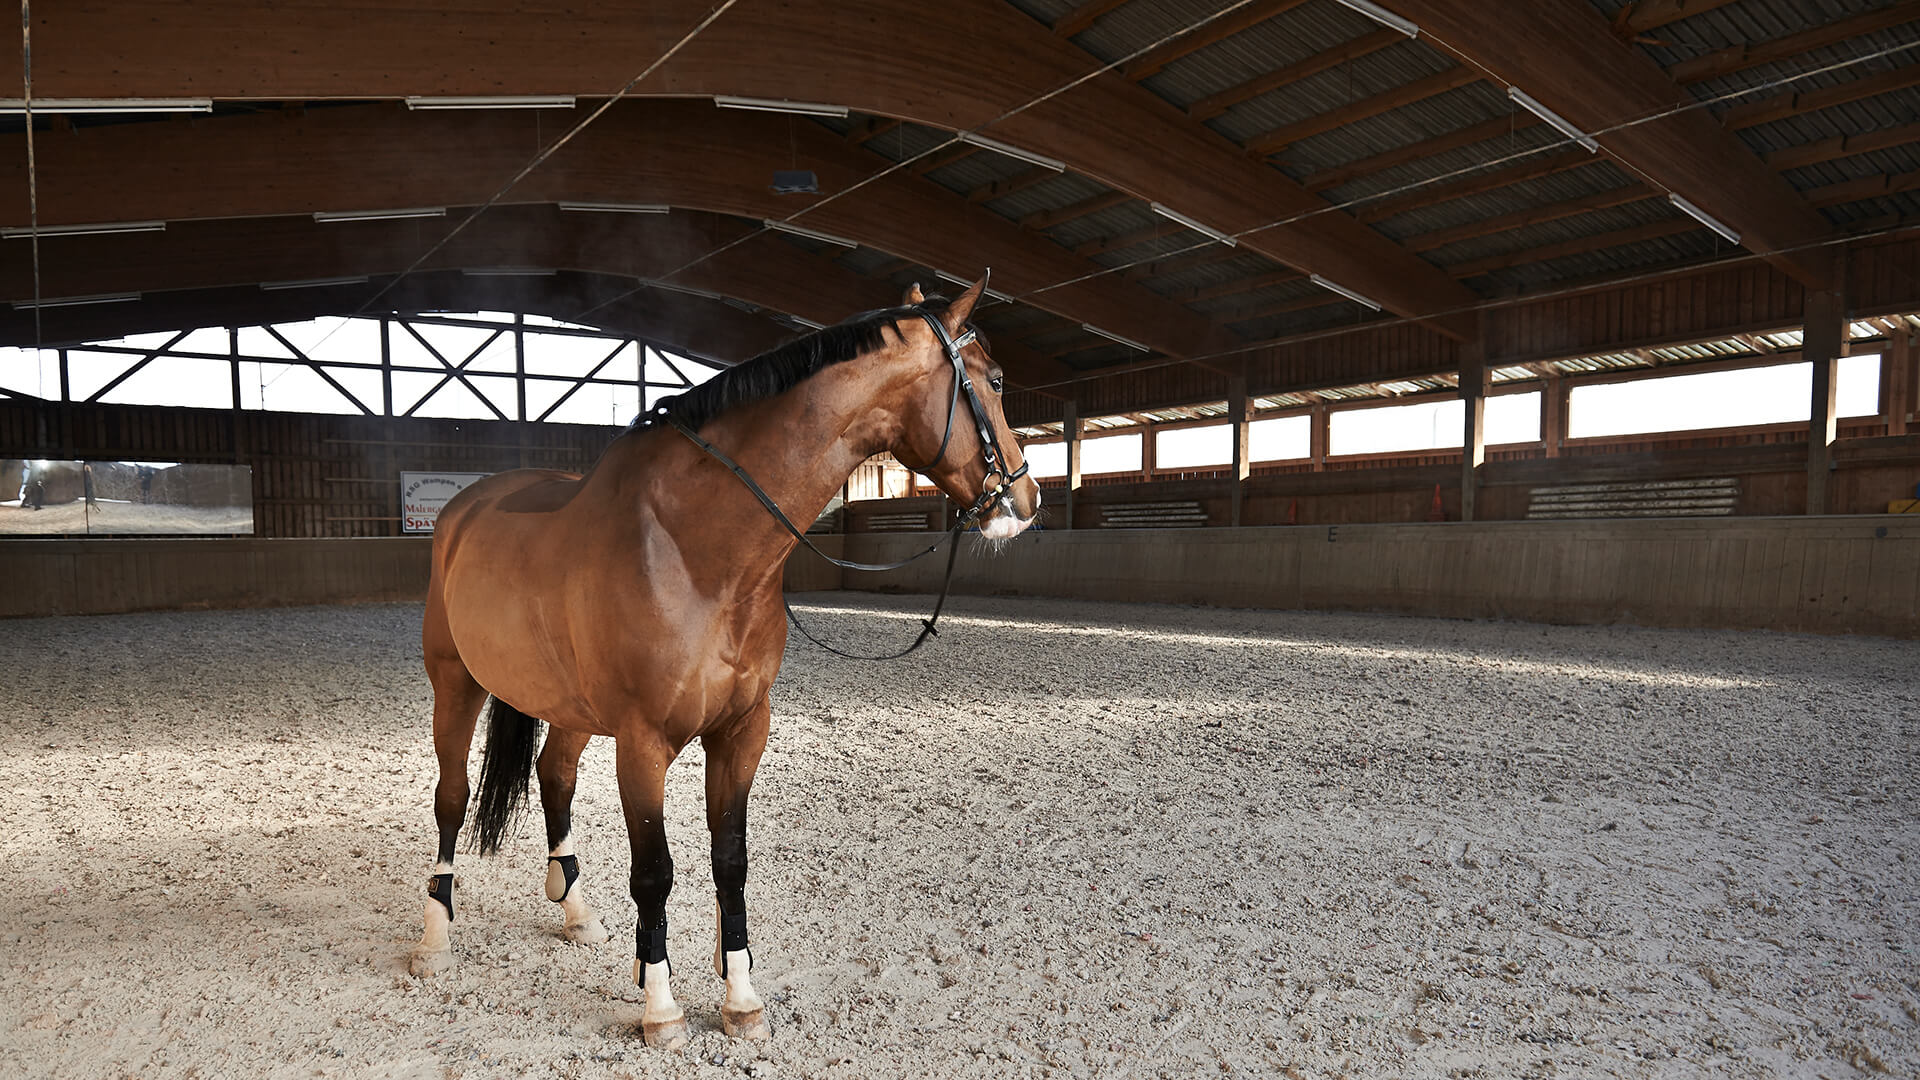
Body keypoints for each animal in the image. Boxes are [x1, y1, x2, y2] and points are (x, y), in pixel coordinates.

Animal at [405, 274, 1036, 1045]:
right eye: (995, 380)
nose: (1026, 498)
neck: (694, 547)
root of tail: (464, 509)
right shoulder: (643, 743)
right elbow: (655, 871)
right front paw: (660, 1006)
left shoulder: (741, 731)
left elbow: (729, 860)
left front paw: (740, 995)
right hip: (455, 683)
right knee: (452, 798)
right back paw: (435, 938)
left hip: (571, 707)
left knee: (554, 779)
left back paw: (576, 912)